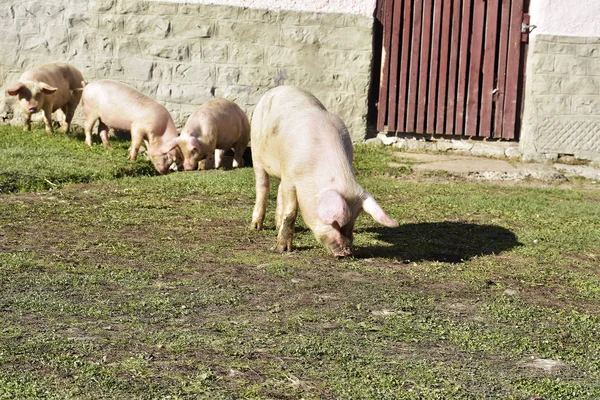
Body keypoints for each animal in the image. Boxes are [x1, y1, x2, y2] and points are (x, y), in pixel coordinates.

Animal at [250, 86, 398, 258]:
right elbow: (291, 212)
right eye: (335, 224)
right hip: (256, 153)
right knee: (262, 187)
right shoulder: (290, 177)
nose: (347, 252)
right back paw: (255, 226)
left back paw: (276, 225)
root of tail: (280, 88)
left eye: (353, 221)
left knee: (278, 190)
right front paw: (283, 249)